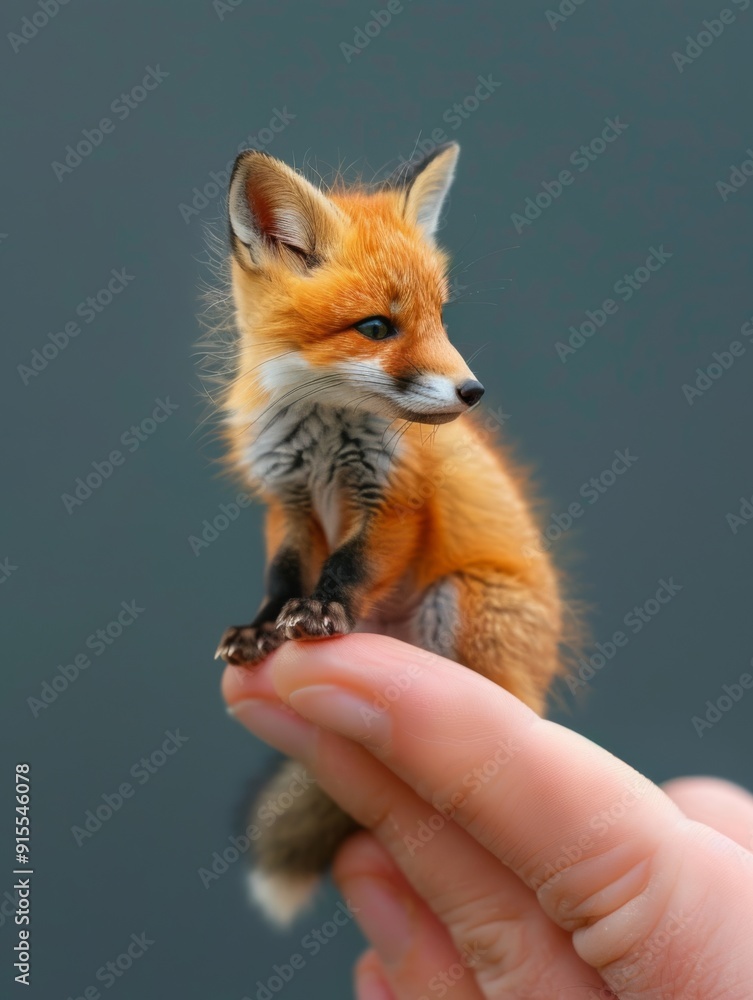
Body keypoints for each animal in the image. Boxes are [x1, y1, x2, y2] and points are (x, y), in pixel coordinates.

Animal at [212, 141, 565, 926]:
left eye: (440, 317)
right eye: (376, 328)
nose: (472, 392)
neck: (326, 437)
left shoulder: (395, 502)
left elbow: (349, 568)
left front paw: (321, 613)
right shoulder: (287, 502)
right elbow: (283, 574)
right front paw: (262, 627)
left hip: (458, 600)